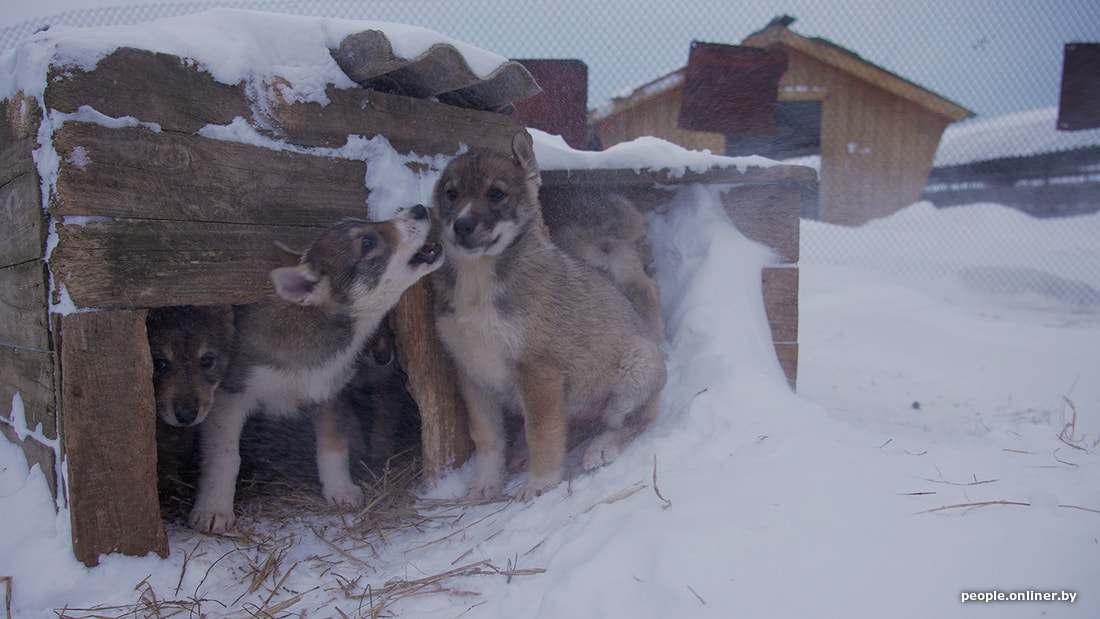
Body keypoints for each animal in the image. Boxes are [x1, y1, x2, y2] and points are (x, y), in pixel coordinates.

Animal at [189, 205, 442, 534]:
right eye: (367, 243)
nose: (419, 208)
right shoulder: (227, 399)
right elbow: (225, 457)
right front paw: (213, 509)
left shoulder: (330, 394)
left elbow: (333, 447)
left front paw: (341, 491)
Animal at [433, 135, 664, 503]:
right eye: (451, 194)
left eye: (496, 193)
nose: (462, 226)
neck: (479, 279)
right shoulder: (471, 373)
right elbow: (487, 436)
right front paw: (487, 480)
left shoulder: (539, 372)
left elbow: (540, 433)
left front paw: (540, 483)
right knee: (573, 428)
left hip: (635, 374)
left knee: (631, 423)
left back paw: (601, 448)